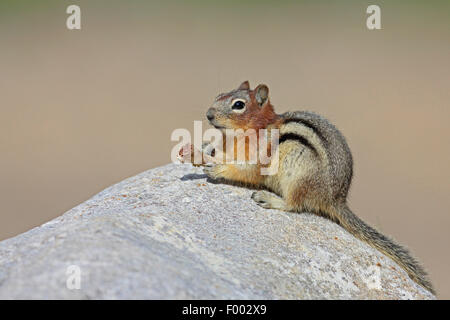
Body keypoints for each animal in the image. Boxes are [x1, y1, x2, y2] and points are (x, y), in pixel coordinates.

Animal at [200, 81, 432, 294]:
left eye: (238, 105)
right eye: (219, 95)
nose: (208, 114)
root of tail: (335, 199)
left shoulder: (259, 156)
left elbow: (246, 171)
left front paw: (218, 169)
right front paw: (206, 148)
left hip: (298, 175)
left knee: (294, 204)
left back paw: (271, 199)